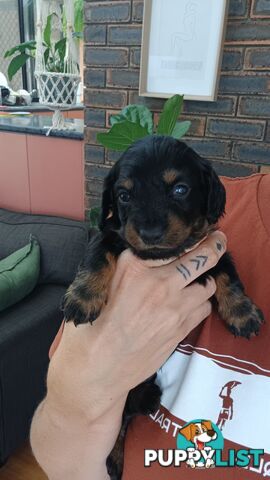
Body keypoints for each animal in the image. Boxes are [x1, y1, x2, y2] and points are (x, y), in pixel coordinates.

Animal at [62, 133, 262, 478]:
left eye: (180, 189)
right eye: (124, 195)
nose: (150, 234)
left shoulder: (213, 251)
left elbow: (229, 274)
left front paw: (242, 313)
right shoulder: (110, 234)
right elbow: (97, 254)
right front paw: (82, 297)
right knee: (119, 424)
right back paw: (116, 459)